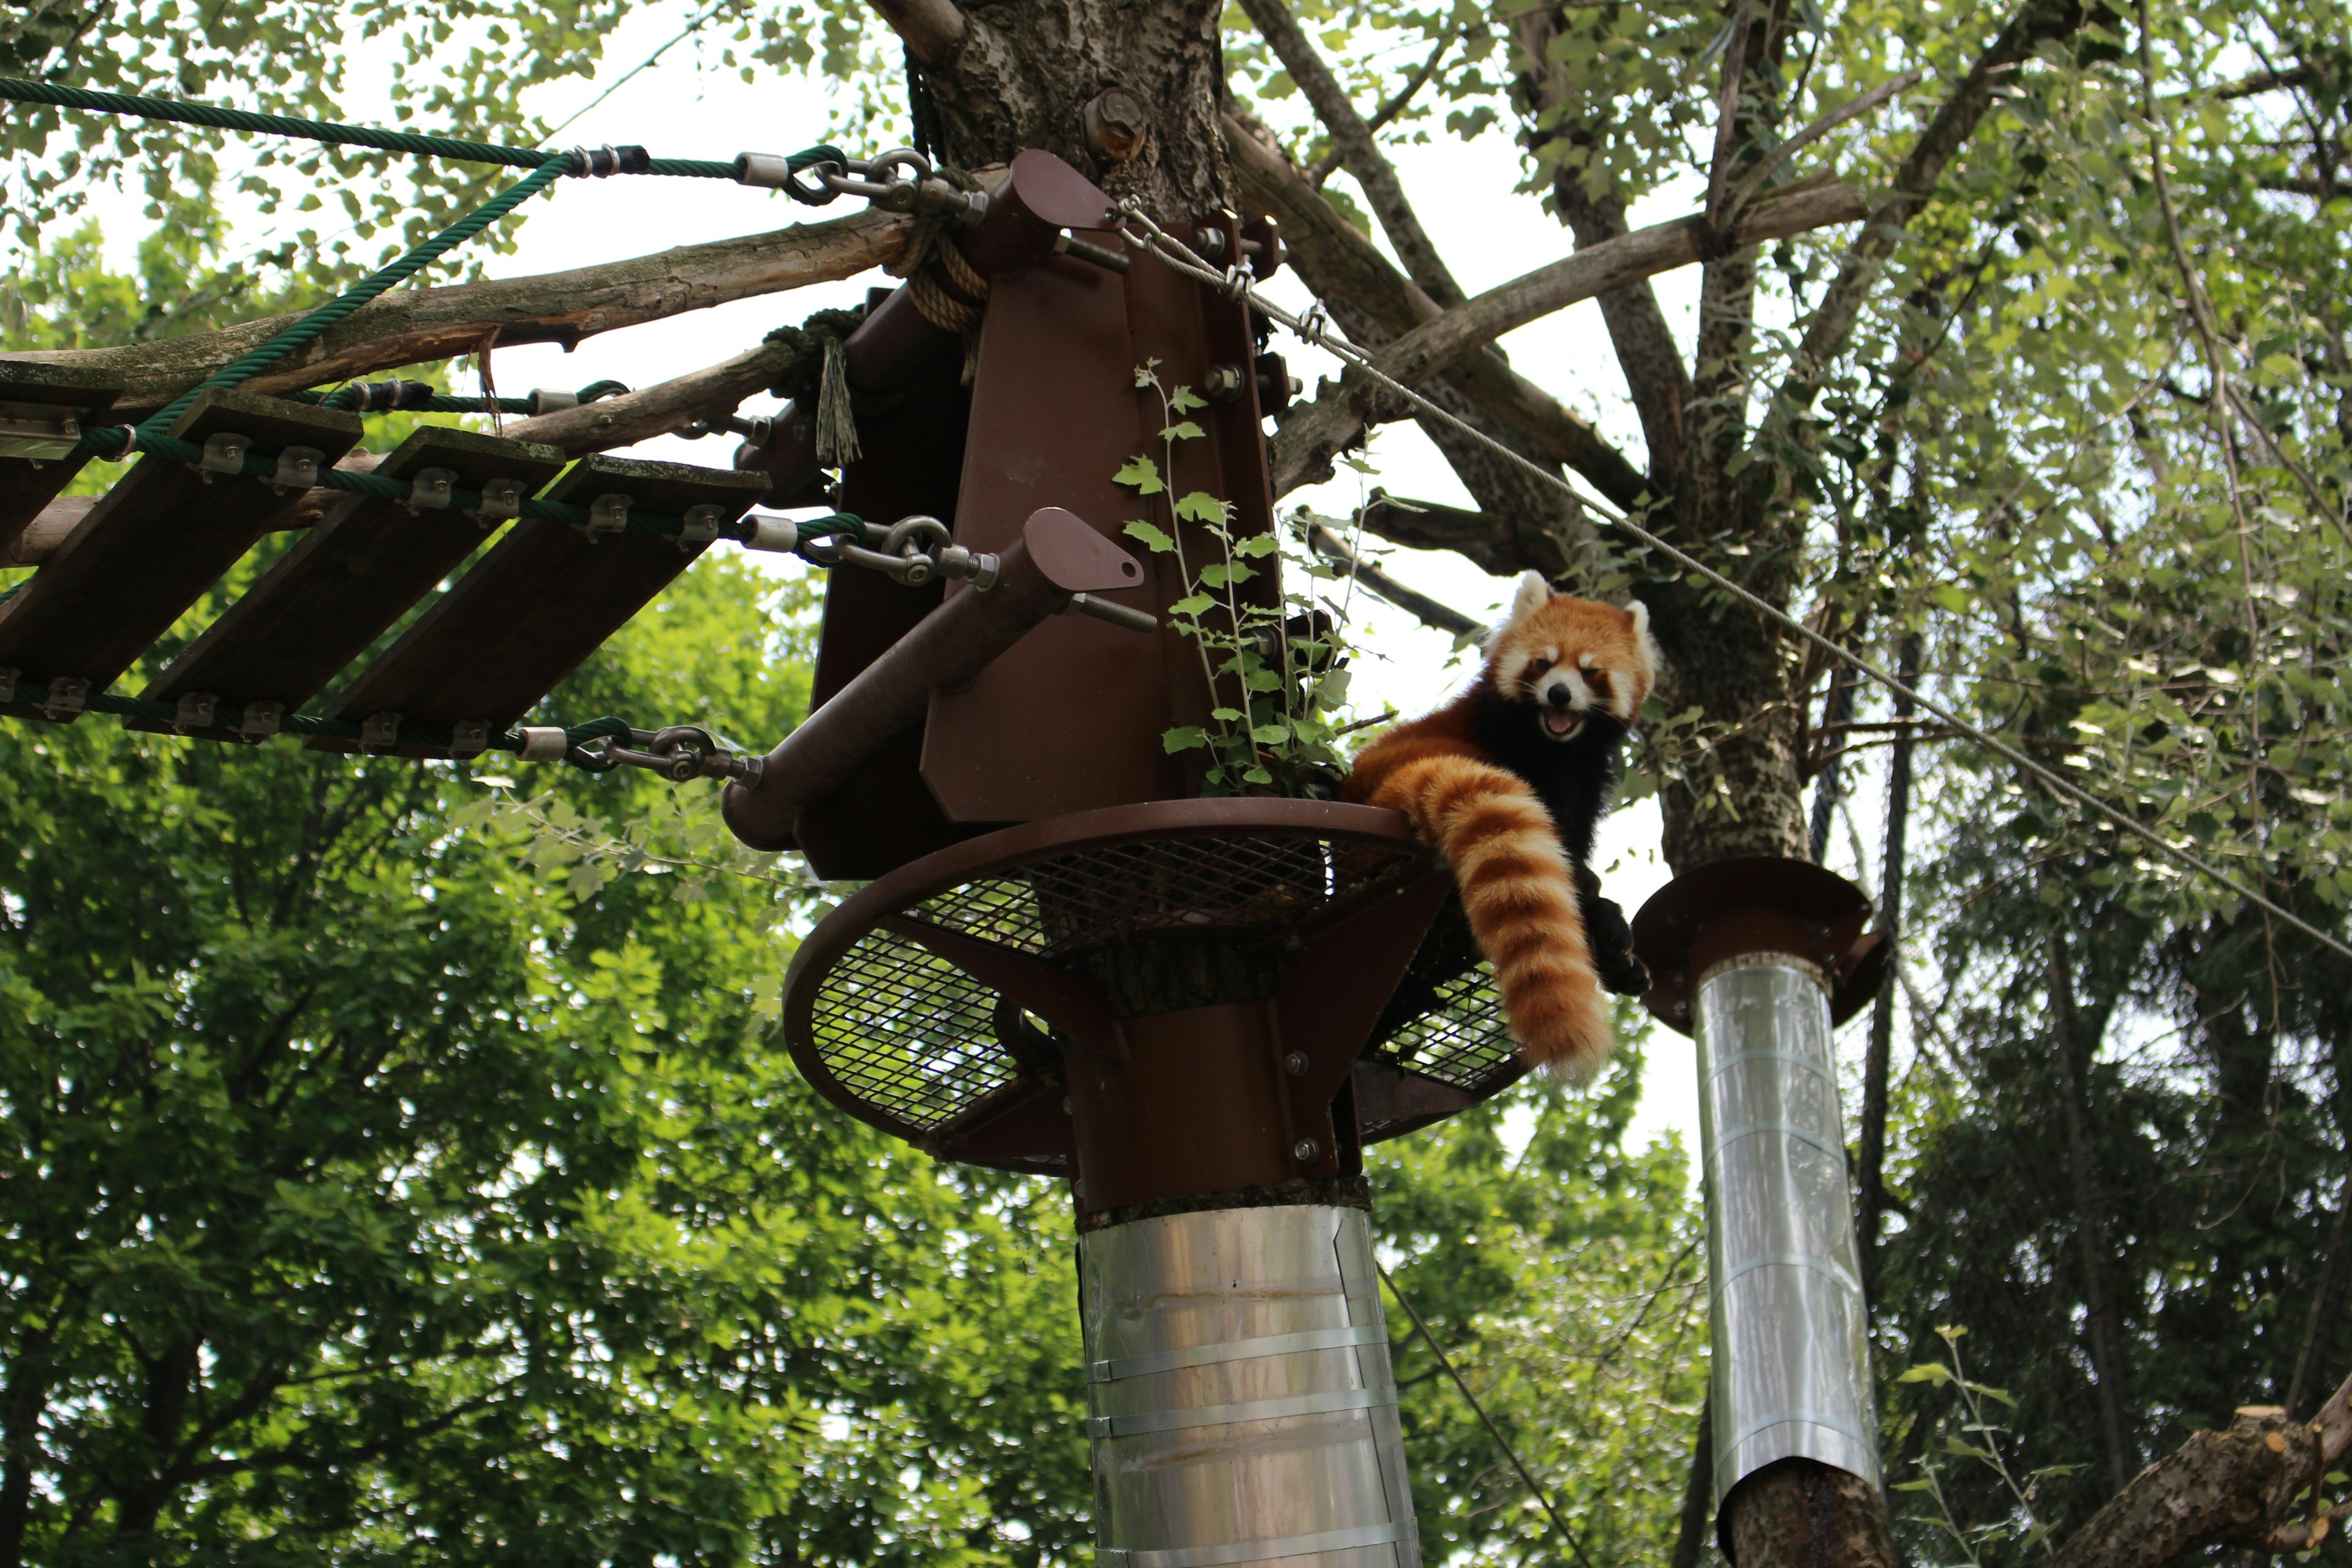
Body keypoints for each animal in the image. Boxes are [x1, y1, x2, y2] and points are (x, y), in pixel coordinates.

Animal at [1345, 576, 1656, 1081]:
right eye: (1543, 663)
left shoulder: (1587, 781)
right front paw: (1595, 902)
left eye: (1590, 672)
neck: (1556, 746)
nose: (1559, 695)